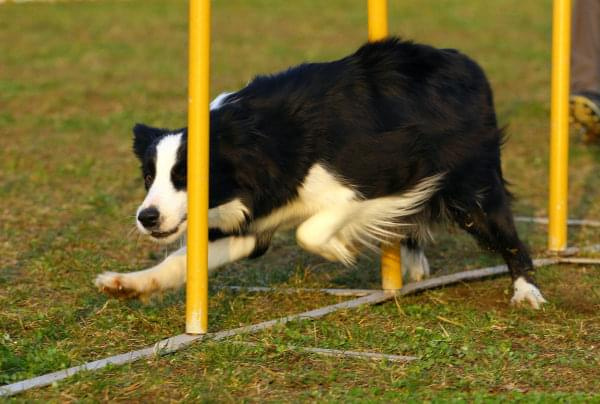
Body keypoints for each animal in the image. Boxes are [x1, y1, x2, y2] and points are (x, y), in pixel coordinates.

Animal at [95, 38, 548, 310]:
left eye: (186, 176)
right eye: (149, 177)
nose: (147, 217)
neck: (254, 140)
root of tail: (465, 61)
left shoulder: (378, 179)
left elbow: (311, 229)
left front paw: (338, 250)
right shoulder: (254, 218)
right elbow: (185, 258)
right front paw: (127, 283)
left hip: (471, 184)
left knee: (507, 235)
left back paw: (526, 291)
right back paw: (414, 264)